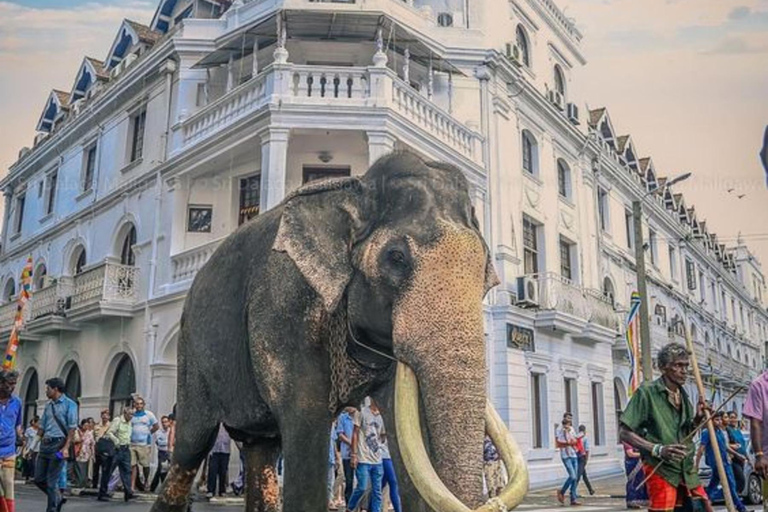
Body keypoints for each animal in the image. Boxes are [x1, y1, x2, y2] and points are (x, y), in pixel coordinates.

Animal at [152, 152, 528, 512]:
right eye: (396, 257)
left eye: (485, 271)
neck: (354, 190)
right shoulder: (282, 304)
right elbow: (307, 422)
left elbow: (405, 434)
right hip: (191, 348)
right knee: (193, 443)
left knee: (261, 448)